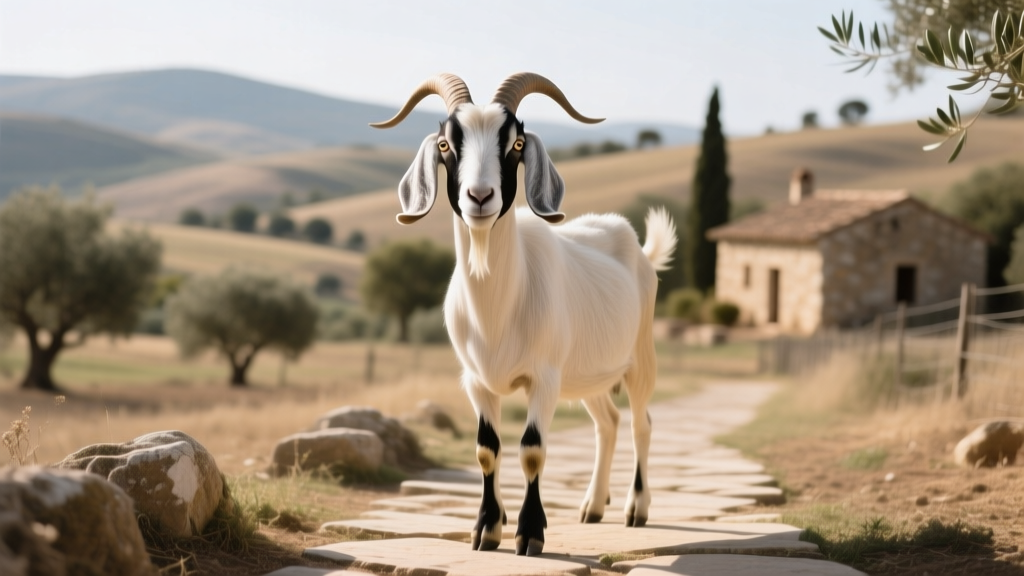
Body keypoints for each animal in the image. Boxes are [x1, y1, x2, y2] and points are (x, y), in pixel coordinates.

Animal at [371, 73, 676, 556]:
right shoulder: (476, 381)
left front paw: (530, 534)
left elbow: (532, 450)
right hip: (585, 373)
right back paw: (593, 507)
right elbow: (486, 449)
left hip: (639, 358)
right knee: (607, 422)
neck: (497, 310)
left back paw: (636, 509)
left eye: (514, 142)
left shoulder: (543, 378)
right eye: (446, 143)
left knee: (640, 424)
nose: (480, 196)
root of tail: (638, 248)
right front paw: (486, 530)